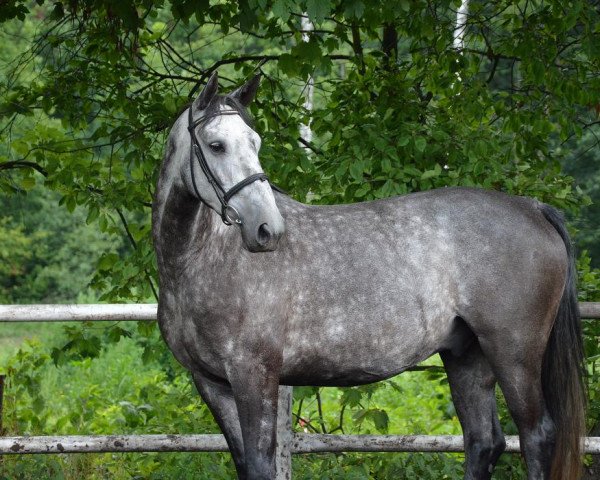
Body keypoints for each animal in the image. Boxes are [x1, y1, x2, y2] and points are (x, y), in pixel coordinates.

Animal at [151, 72, 584, 480]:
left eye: (255, 142)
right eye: (216, 145)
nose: (267, 229)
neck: (202, 260)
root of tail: (533, 208)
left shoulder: (253, 375)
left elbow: (260, 465)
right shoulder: (212, 384)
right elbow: (244, 463)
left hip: (513, 354)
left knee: (536, 436)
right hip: (466, 355)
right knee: (483, 441)